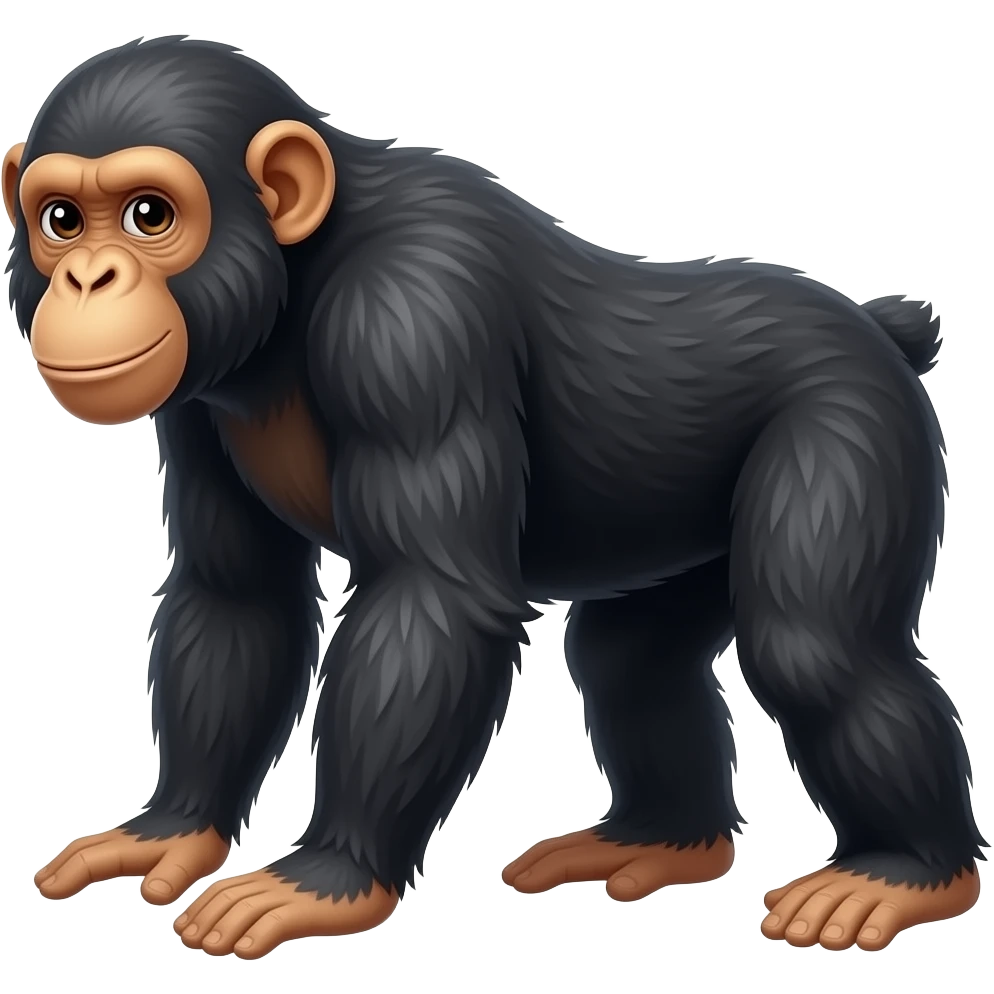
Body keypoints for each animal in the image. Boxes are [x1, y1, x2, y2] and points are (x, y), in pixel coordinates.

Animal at [2, 35, 983, 960]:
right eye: (61, 219)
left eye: (149, 214)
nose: (87, 277)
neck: (295, 278)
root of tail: (879, 326)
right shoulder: (197, 410)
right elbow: (236, 596)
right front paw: (170, 829)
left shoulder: (413, 322)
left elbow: (426, 599)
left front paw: (325, 879)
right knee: (632, 661)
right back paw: (662, 841)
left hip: (849, 430)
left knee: (818, 652)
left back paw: (907, 872)